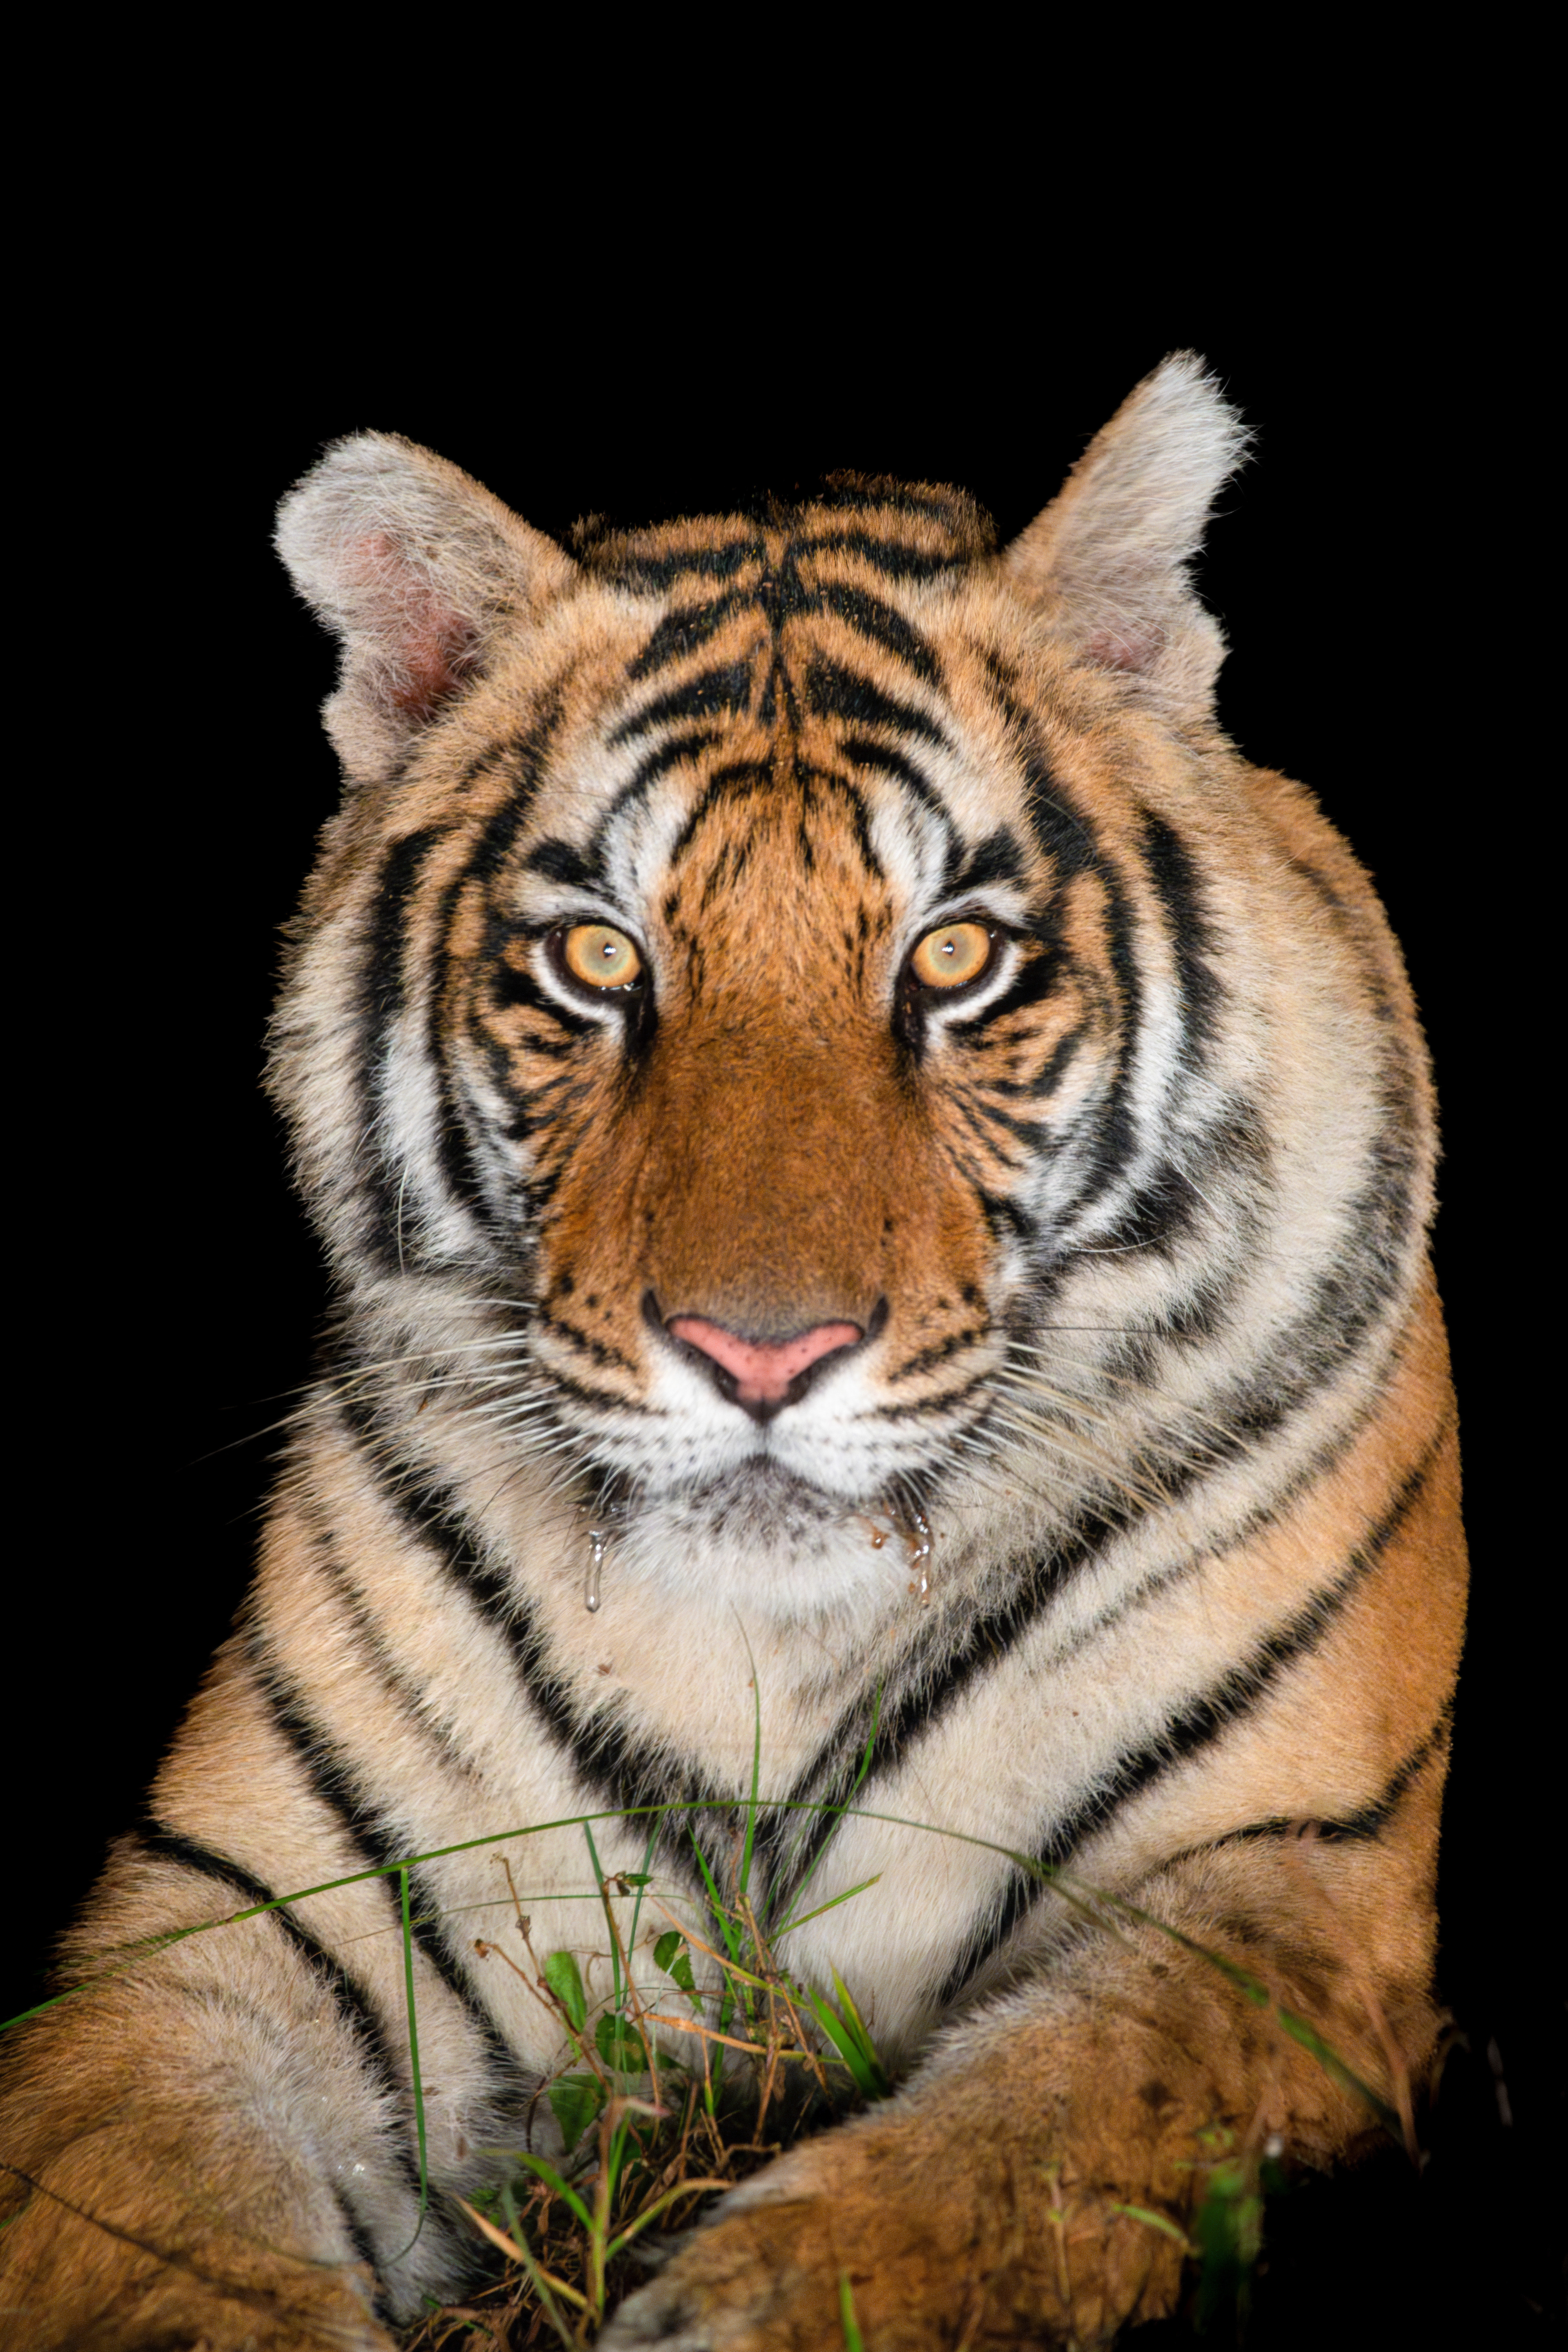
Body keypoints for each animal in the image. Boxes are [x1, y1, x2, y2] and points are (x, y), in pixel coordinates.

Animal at [0, 353, 1467, 2351]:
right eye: (600, 961)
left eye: (957, 960)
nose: (758, 1356)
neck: (762, 1653)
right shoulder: (219, 1934)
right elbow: (160, 2240)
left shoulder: (1281, 1892)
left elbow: (1034, 2133)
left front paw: (754, 2296)